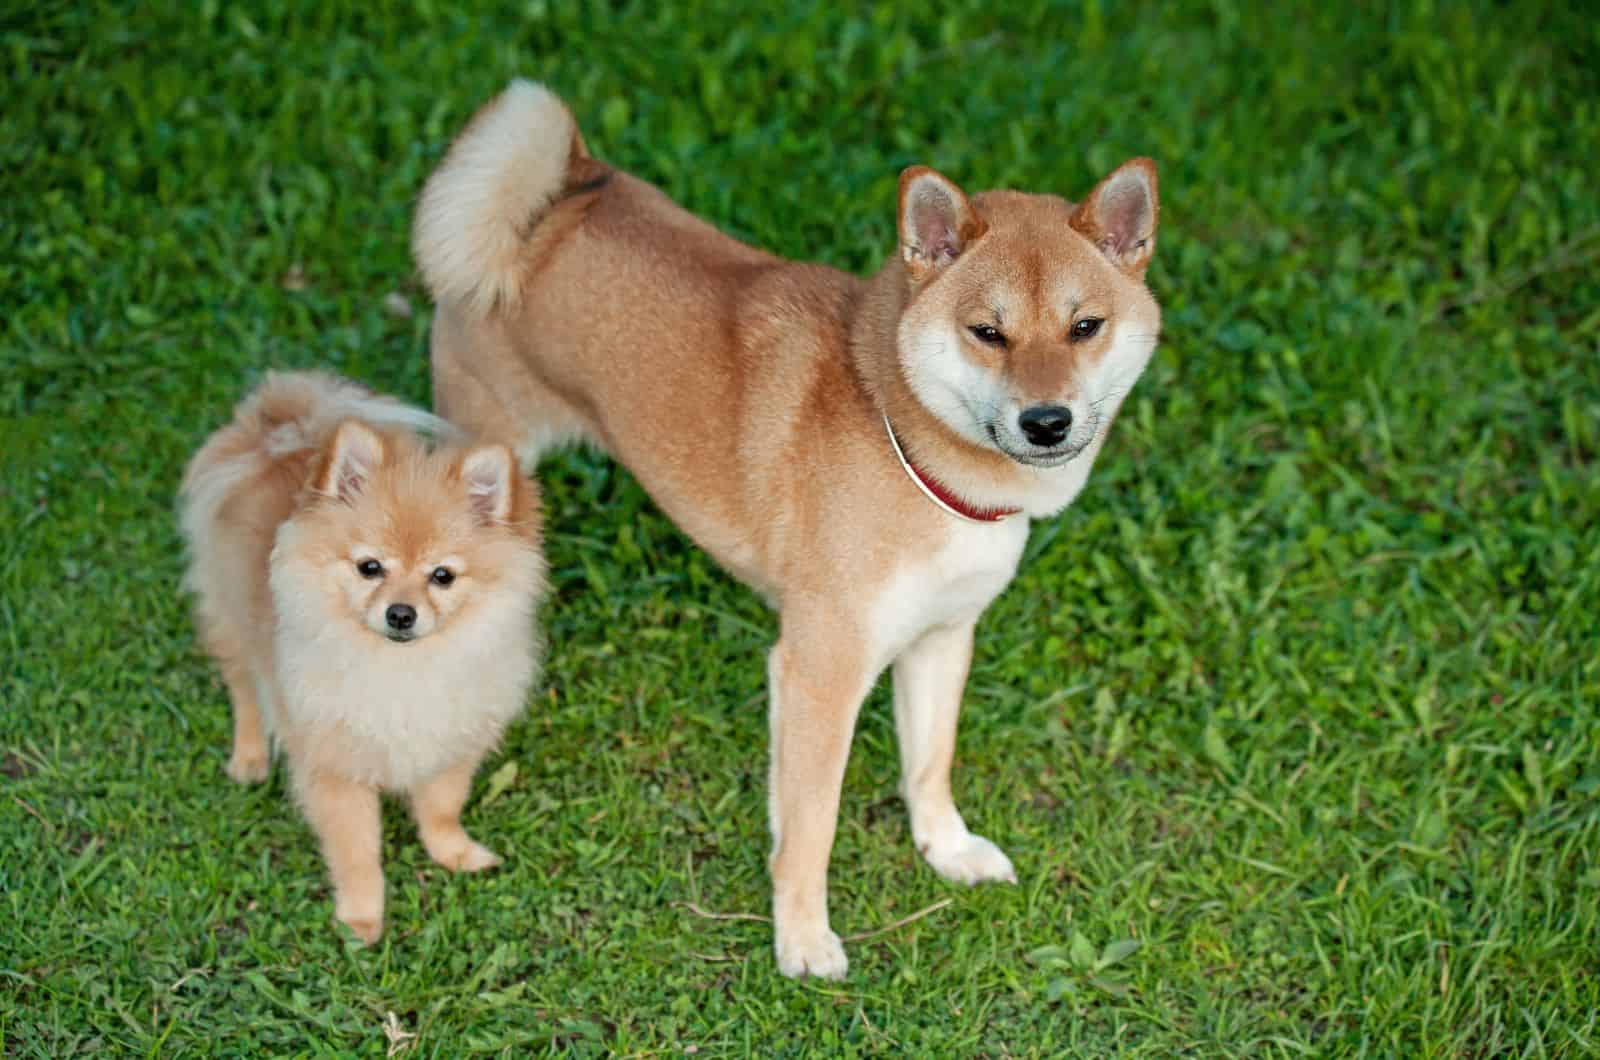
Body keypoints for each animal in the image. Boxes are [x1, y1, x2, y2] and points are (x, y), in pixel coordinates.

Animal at [179, 373, 547, 947]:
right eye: (370, 567)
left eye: (442, 576)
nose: (401, 613)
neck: (400, 669)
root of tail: (273, 431)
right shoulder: (337, 771)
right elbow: (357, 851)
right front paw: (361, 917)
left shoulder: (450, 744)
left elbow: (441, 809)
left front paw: (454, 853)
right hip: (231, 616)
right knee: (243, 685)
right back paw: (250, 756)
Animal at [412, 80, 1164, 979]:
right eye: (988, 332)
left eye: (1086, 327)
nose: (1046, 421)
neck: (910, 446)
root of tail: (558, 196)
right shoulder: (820, 672)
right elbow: (812, 828)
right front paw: (803, 938)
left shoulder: (941, 639)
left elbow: (929, 765)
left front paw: (945, 849)